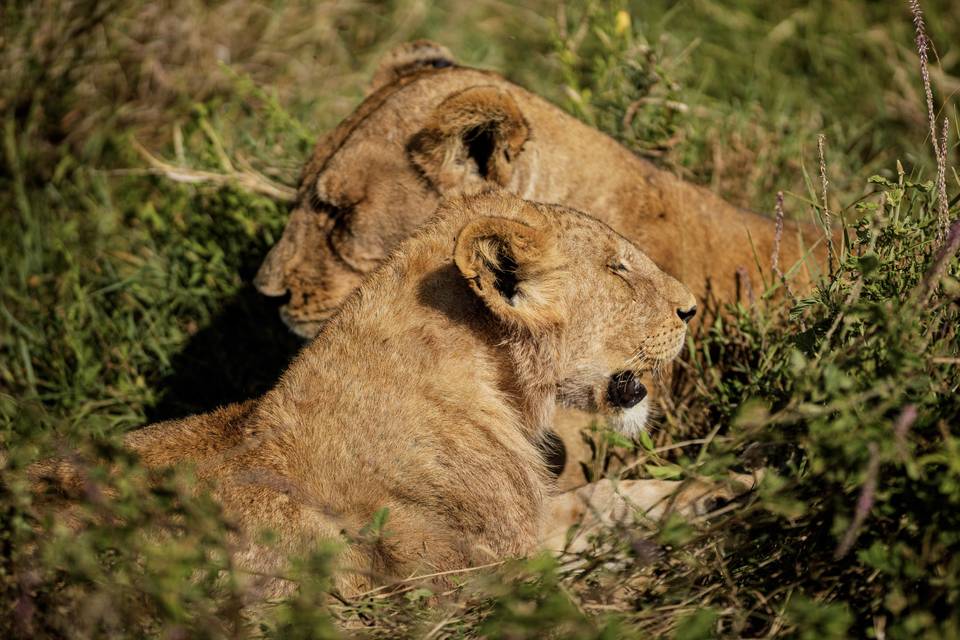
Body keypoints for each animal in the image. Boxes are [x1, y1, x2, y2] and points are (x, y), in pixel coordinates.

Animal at [34, 192, 754, 598]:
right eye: (618, 269)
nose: (691, 310)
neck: (499, 388)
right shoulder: (483, 573)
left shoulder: (533, 518)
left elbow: (612, 497)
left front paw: (736, 486)